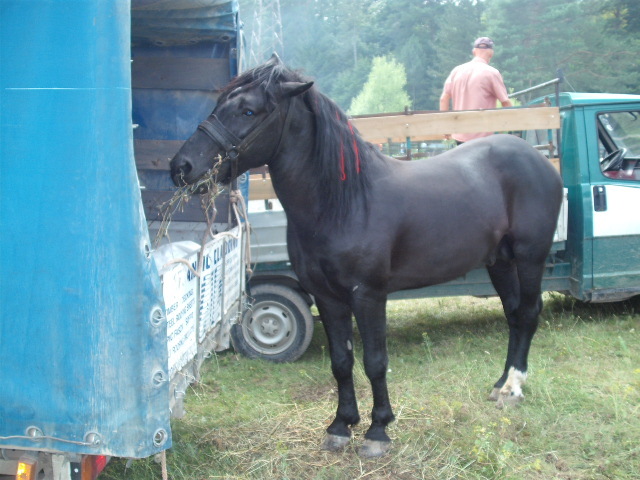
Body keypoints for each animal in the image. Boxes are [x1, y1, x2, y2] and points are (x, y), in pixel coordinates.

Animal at [169, 56, 560, 458]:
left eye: (248, 110)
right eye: (219, 103)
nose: (181, 167)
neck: (345, 202)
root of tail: (534, 157)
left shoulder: (368, 295)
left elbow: (375, 362)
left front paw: (378, 430)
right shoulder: (327, 297)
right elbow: (341, 362)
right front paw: (341, 425)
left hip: (530, 256)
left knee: (527, 314)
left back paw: (514, 387)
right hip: (500, 261)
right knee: (513, 314)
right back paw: (500, 384)